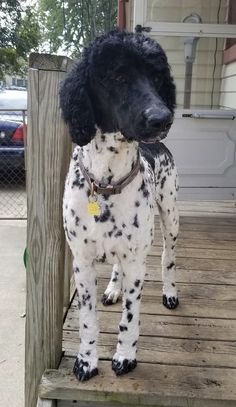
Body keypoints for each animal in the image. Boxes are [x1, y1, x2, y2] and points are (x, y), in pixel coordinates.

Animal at [59, 29, 179, 382]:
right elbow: (88, 321)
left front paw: (125, 356)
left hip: (171, 218)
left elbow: (130, 317)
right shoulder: (82, 261)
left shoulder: (136, 261)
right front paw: (86, 361)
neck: (107, 182)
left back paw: (170, 291)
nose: (162, 118)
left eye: (157, 76)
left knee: (168, 258)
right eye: (117, 76)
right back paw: (113, 288)